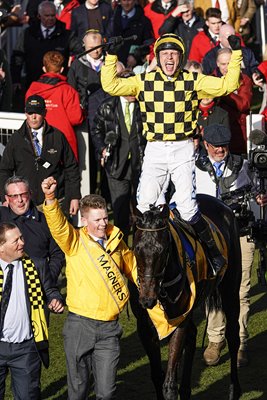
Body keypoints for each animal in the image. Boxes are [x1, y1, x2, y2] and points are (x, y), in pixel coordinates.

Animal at [133, 192, 243, 398]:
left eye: (163, 249)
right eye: (137, 249)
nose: (147, 299)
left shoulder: (180, 319)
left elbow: (169, 384)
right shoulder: (144, 326)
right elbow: (157, 376)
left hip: (230, 290)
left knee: (233, 336)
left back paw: (234, 389)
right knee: (192, 336)